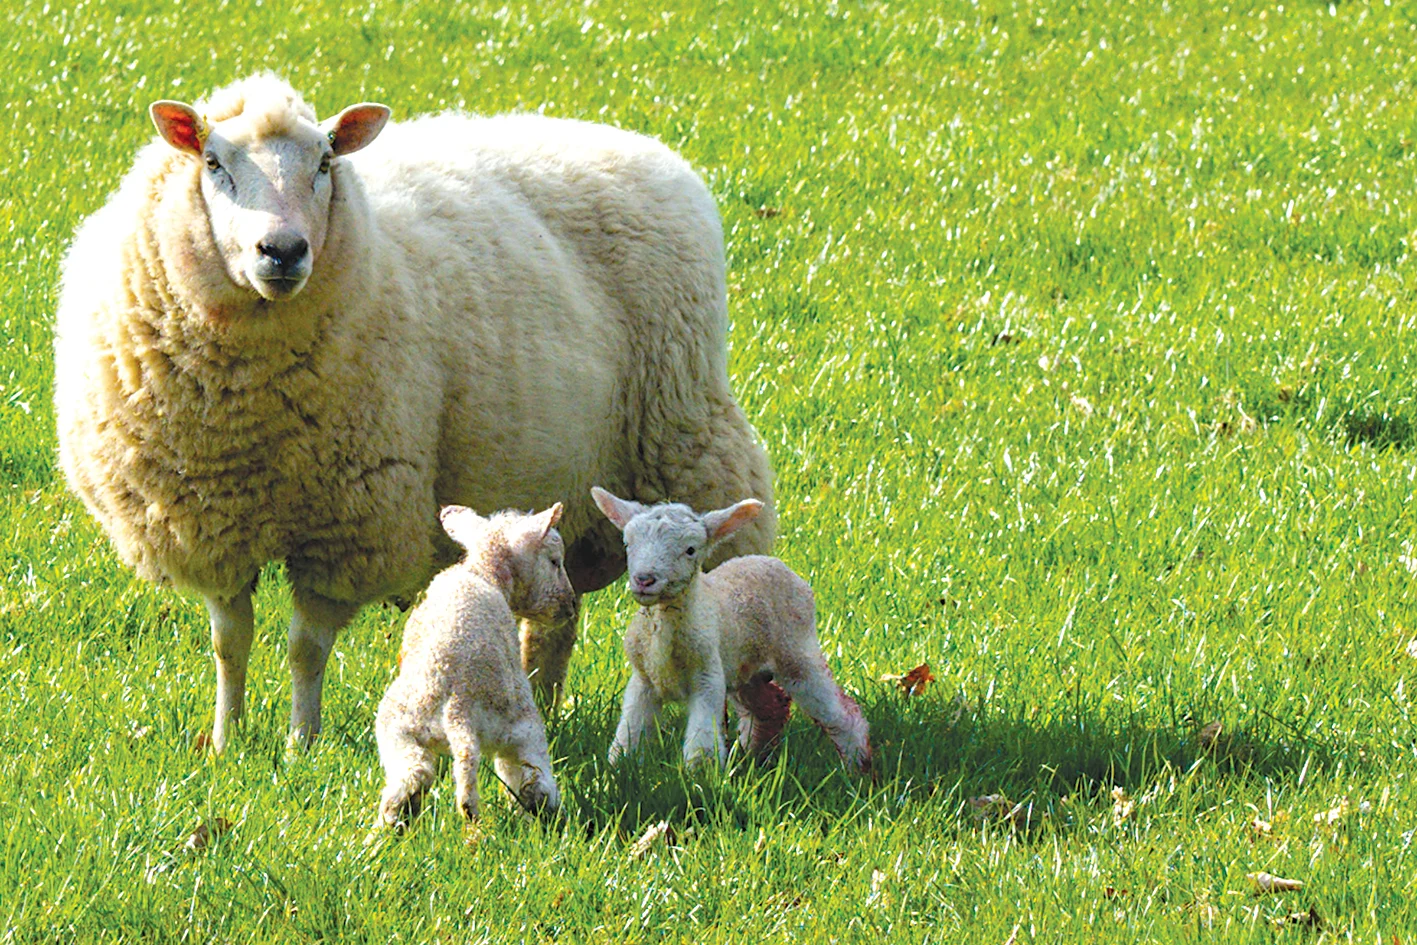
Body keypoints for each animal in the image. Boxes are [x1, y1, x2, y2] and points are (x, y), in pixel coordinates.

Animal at [52, 73, 776, 752]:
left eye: (324, 162)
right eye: (213, 162)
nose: (282, 251)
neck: (247, 411)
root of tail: (636, 145)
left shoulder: (347, 526)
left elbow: (304, 648)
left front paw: (300, 744)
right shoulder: (210, 525)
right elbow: (230, 643)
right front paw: (228, 741)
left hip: (687, 438)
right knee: (556, 617)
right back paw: (539, 703)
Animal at [377, 503, 570, 827]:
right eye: (554, 561)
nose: (570, 607)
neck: (482, 570)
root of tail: (460, 708)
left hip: (398, 727)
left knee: (412, 775)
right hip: (522, 730)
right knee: (533, 781)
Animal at [590, 487, 872, 776]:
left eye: (690, 550)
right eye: (628, 544)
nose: (644, 580)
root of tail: (773, 562)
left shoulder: (707, 676)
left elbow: (702, 742)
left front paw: (700, 778)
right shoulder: (643, 680)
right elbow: (629, 733)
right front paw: (617, 768)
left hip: (797, 653)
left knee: (840, 712)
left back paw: (857, 765)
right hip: (746, 670)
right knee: (771, 706)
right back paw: (755, 757)